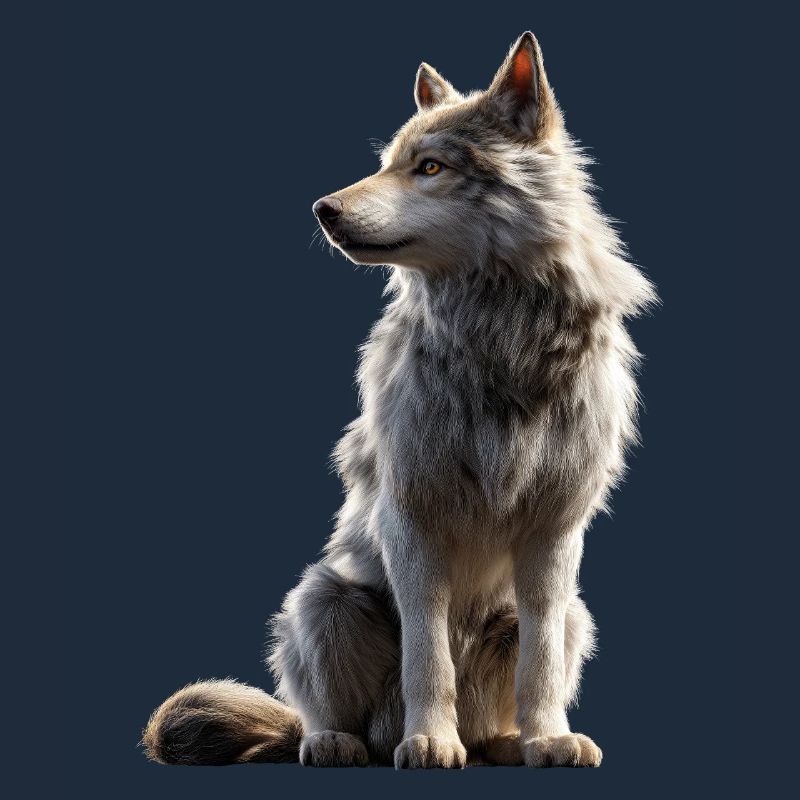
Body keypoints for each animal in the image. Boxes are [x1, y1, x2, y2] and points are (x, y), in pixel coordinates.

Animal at [143, 31, 655, 769]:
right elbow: (427, 654)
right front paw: (430, 741)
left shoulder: (556, 532)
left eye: (430, 167)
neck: (500, 337)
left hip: (574, 615)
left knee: (518, 685)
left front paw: (549, 738)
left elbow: (540, 665)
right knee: (325, 714)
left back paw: (504, 742)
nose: (322, 210)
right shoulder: (411, 521)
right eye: (387, 165)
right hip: (324, 599)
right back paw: (342, 741)